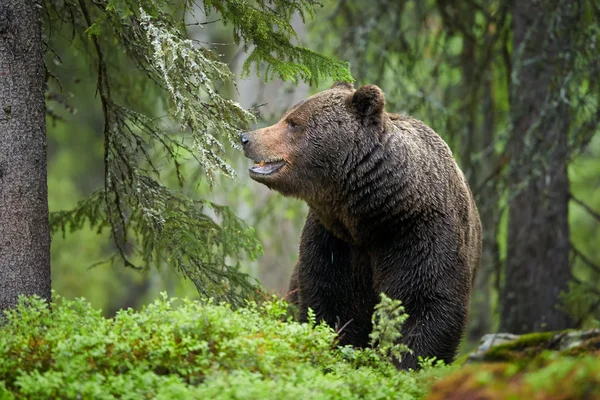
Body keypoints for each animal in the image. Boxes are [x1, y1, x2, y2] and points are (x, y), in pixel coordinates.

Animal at [240, 83, 482, 370]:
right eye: (286, 117)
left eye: (293, 123)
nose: (245, 137)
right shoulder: (334, 239)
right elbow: (334, 300)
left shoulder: (421, 234)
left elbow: (426, 303)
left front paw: (406, 363)